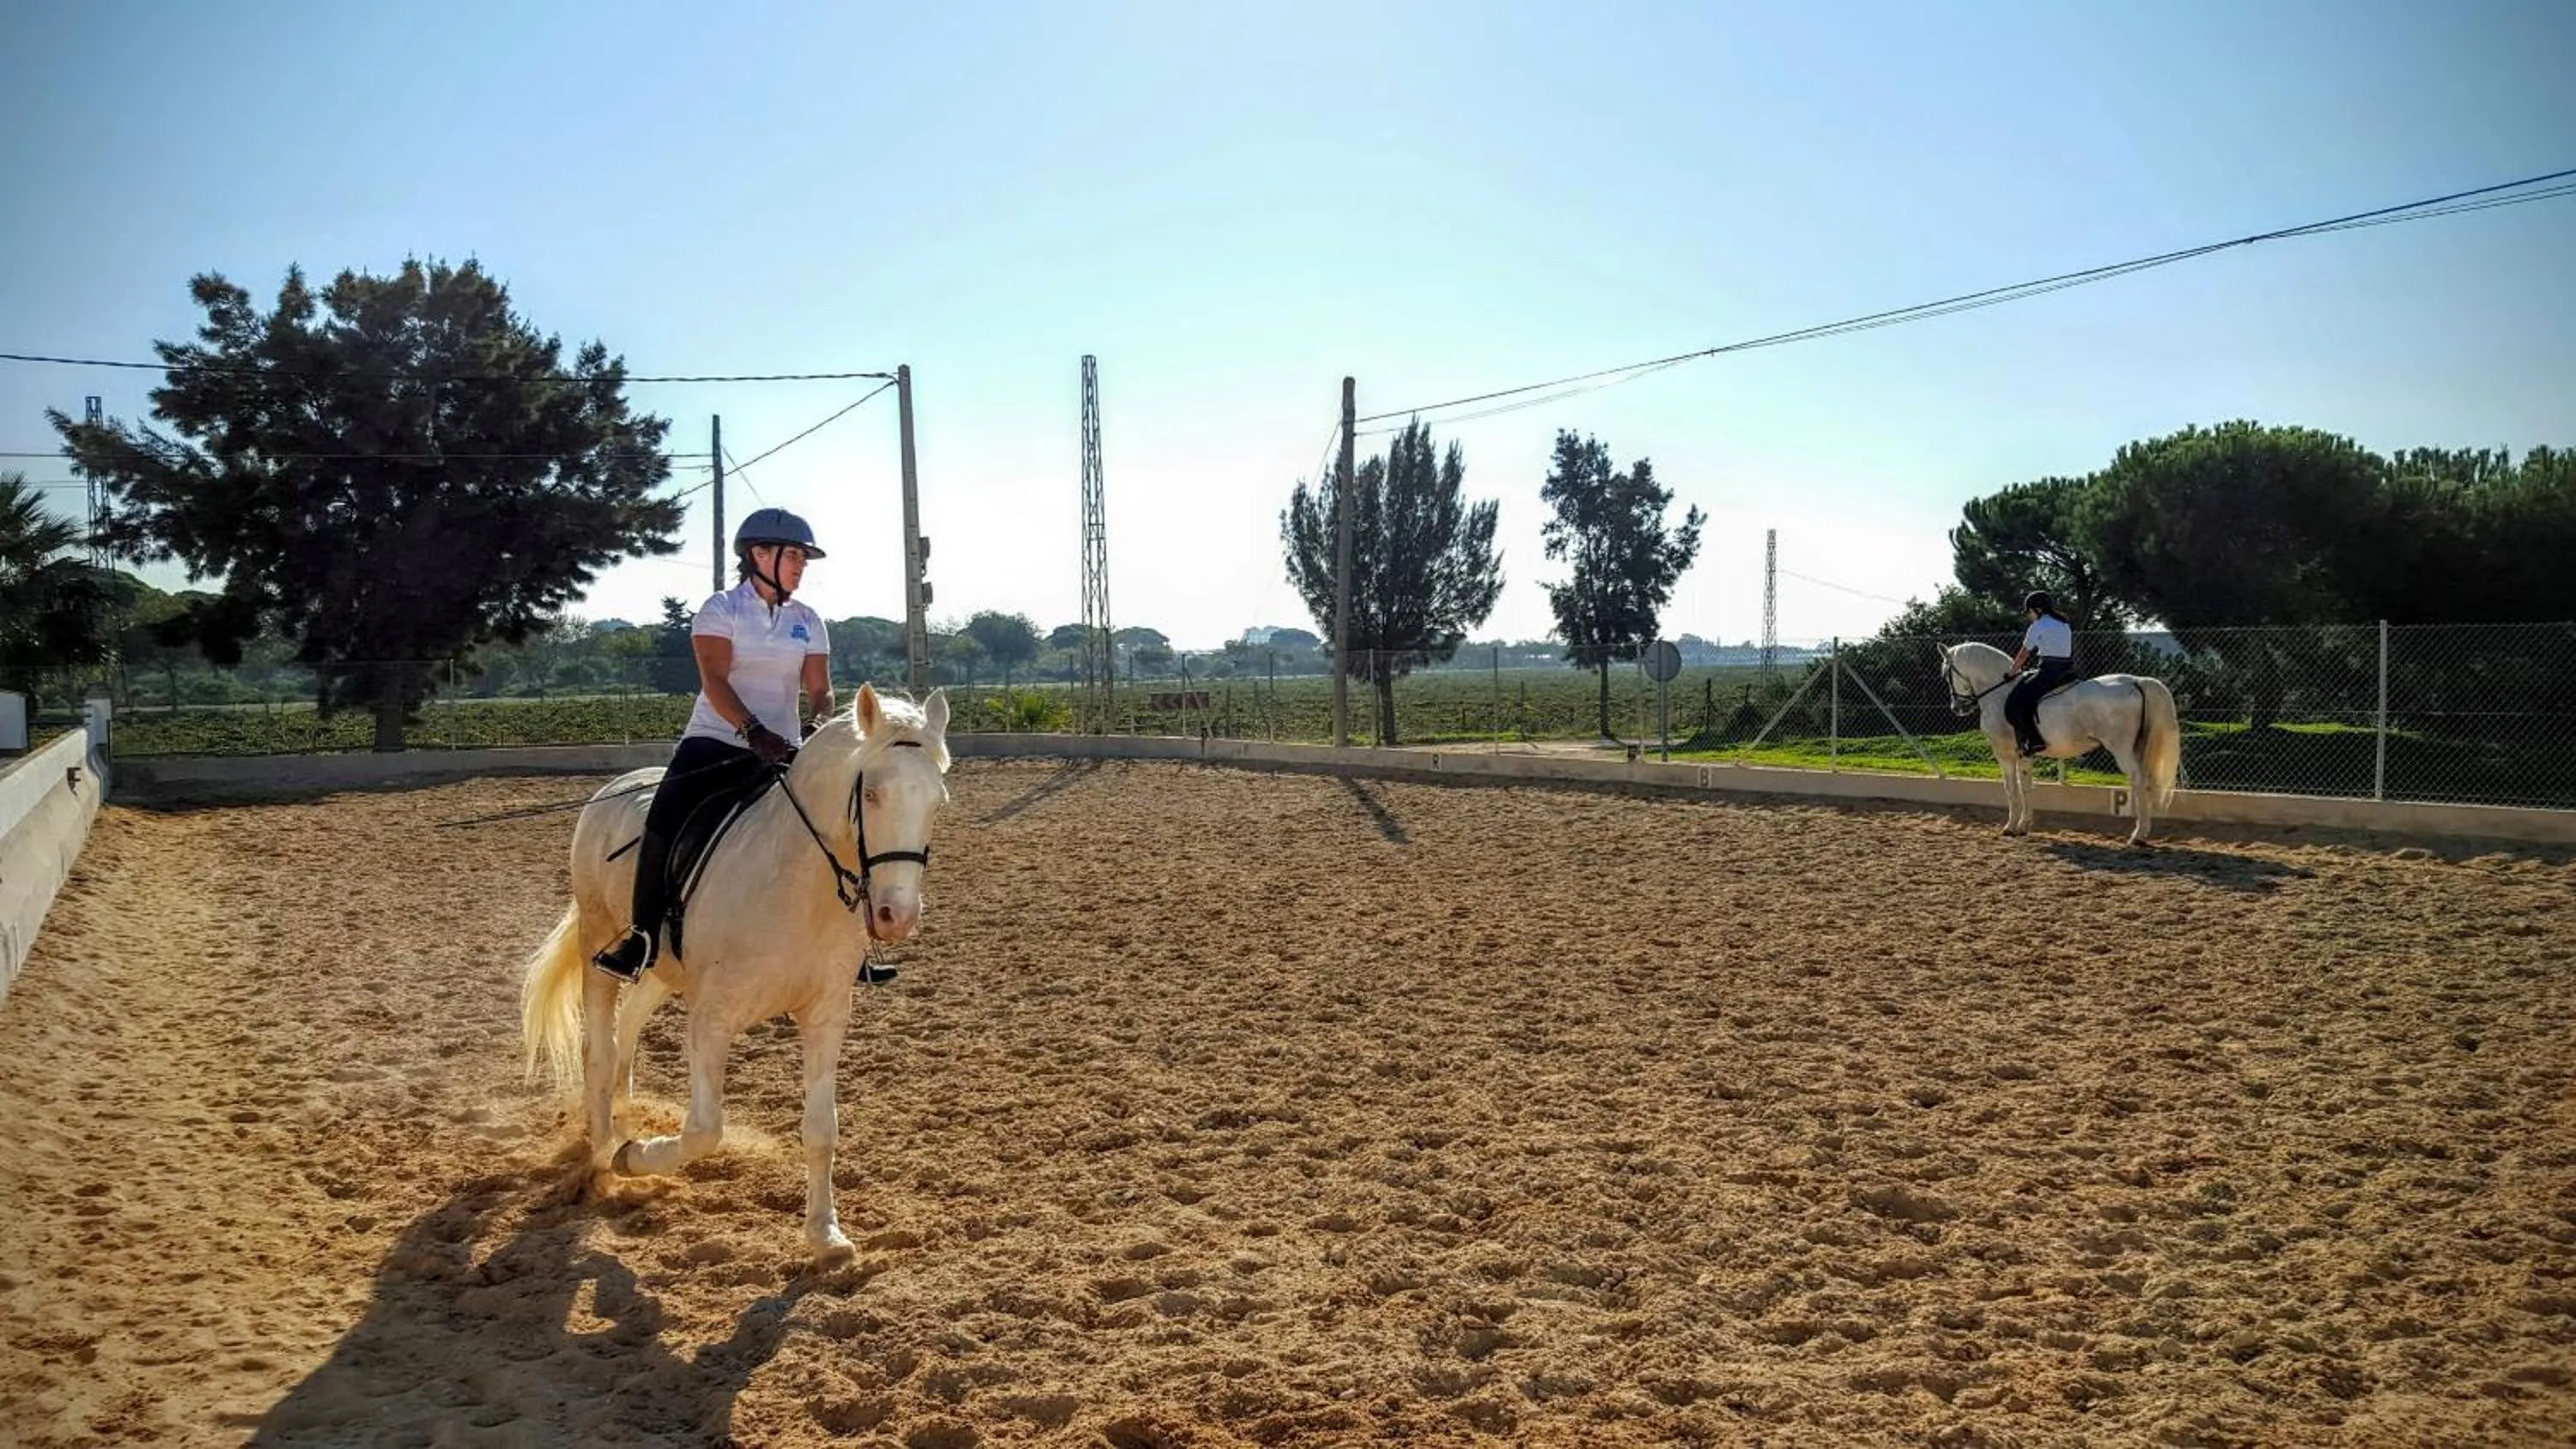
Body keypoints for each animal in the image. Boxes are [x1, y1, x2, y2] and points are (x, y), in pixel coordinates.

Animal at [520, 682, 952, 1263]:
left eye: (936, 802)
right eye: (873, 794)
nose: (896, 916)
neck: (796, 884)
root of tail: (613, 788)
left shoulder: (826, 1015)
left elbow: (822, 1129)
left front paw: (826, 1235)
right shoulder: (712, 1018)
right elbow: (704, 1130)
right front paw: (634, 1158)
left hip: (661, 968)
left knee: (629, 1025)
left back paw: (626, 1114)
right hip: (598, 941)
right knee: (600, 1052)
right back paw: (603, 1158)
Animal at [1938, 641, 2179, 846]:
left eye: (1946, 675)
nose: (1957, 708)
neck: (2000, 693)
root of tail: (2136, 681)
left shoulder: (2005, 753)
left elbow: (2012, 788)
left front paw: (2012, 827)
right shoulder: (2025, 754)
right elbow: (2026, 787)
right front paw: (2024, 826)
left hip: (2121, 748)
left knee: (2138, 780)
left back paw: (2137, 835)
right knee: (2144, 781)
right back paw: (2142, 833)